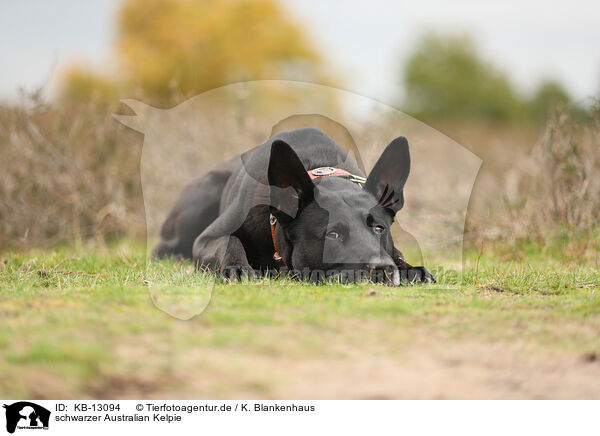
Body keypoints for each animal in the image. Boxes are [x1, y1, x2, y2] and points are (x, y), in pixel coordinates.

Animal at [155, 126, 434, 284]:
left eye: (379, 229)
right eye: (332, 235)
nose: (383, 271)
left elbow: (397, 252)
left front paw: (409, 268)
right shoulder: (206, 238)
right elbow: (229, 240)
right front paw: (237, 267)